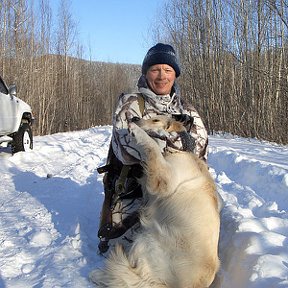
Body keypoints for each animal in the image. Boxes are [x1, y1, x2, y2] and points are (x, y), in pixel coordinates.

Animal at [90, 115, 220, 288]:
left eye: (156, 120)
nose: (134, 117)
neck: (178, 149)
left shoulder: (164, 179)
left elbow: (151, 148)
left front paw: (137, 131)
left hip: (147, 240)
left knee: (131, 275)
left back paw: (99, 273)